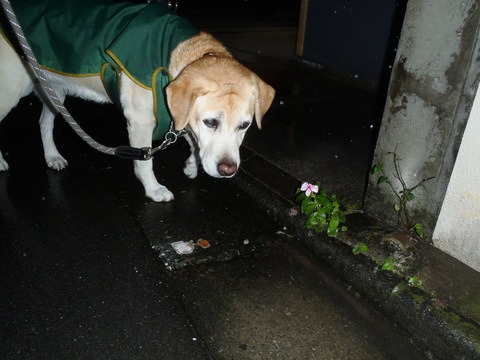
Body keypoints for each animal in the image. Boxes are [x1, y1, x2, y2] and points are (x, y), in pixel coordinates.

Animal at [0, 0, 274, 201]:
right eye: (210, 122)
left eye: (245, 126)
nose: (228, 170)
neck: (175, 55)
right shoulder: (141, 121)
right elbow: (146, 162)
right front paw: (153, 189)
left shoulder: (178, 112)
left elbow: (190, 138)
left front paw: (191, 164)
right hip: (11, 91)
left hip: (54, 91)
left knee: (44, 123)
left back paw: (52, 156)